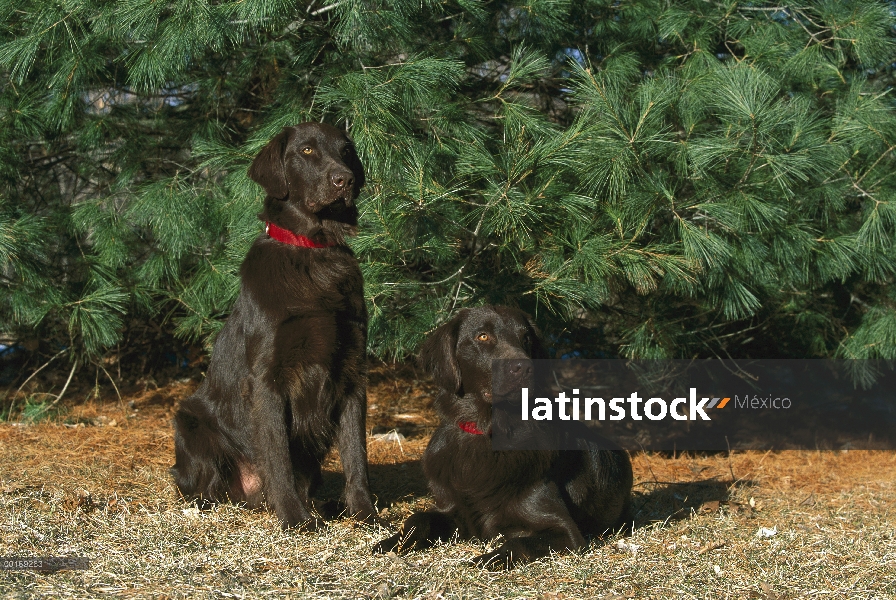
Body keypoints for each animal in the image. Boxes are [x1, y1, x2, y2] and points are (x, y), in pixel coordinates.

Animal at [171, 122, 374, 528]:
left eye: (345, 151)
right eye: (307, 150)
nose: (343, 180)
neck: (313, 250)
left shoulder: (353, 374)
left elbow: (356, 455)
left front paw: (365, 513)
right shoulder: (268, 380)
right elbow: (278, 457)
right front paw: (295, 519)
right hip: (189, 422)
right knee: (203, 487)